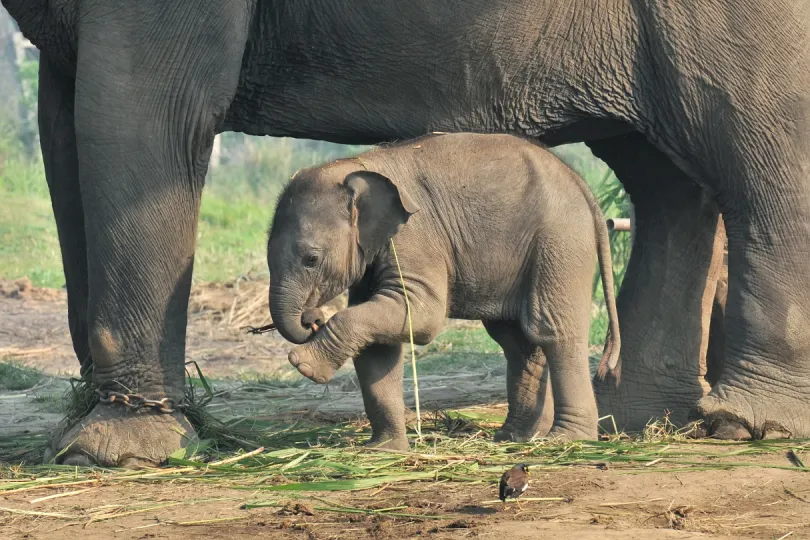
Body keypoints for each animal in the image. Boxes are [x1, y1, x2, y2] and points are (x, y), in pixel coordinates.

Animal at [266, 133, 620, 450]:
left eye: (311, 259)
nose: (311, 319)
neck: (357, 165)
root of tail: (583, 186)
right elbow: (378, 347)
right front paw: (383, 450)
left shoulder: (416, 236)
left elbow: (423, 316)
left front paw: (303, 365)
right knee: (517, 342)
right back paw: (515, 437)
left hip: (560, 242)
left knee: (553, 332)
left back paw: (568, 439)